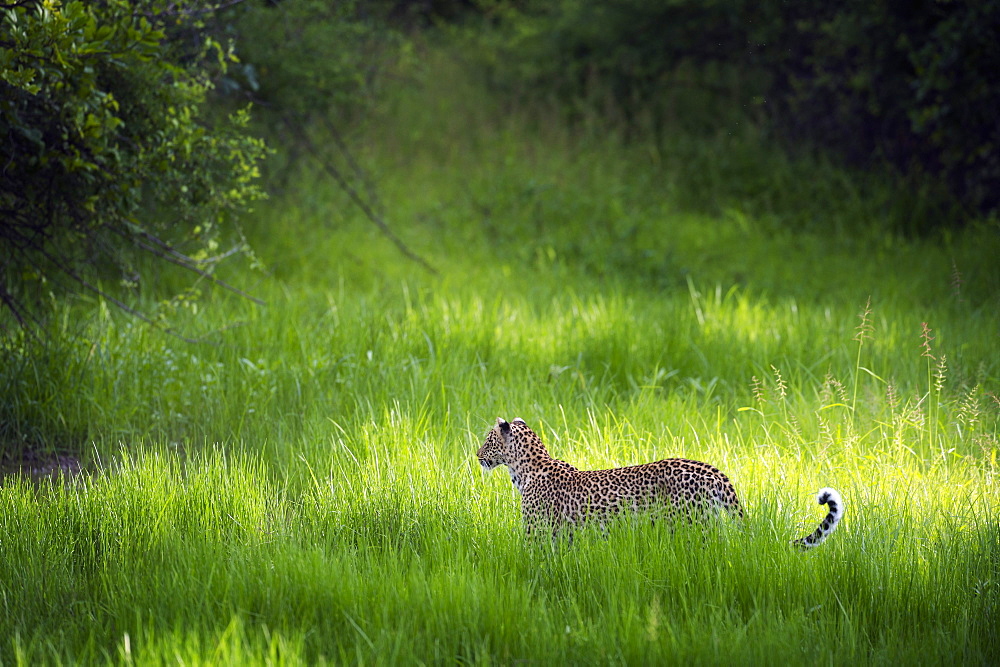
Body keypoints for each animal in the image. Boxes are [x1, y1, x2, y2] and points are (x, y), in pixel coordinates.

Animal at [476, 418, 844, 548]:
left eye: (488, 441)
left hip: (691, 523)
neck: (524, 469)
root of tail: (713, 471)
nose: (477, 455)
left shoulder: (535, 530)